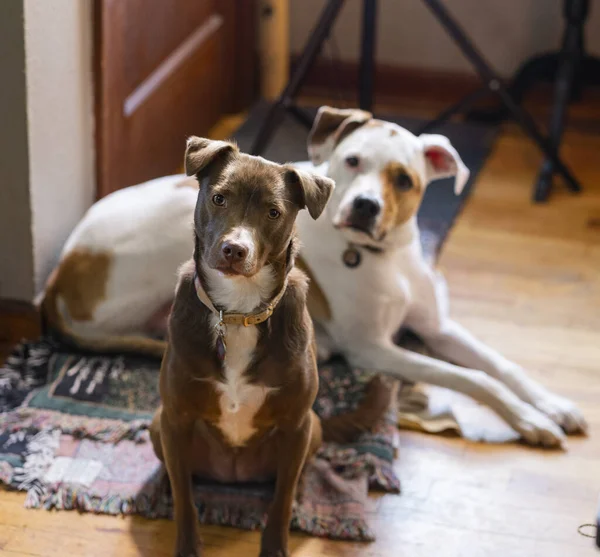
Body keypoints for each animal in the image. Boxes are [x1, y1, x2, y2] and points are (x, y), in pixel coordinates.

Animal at [151, 138, 390, 556]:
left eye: (274, 212)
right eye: (219, 198)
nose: (234, 250)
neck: (237, 311)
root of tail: (232, 475)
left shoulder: (296, 425)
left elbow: (281, 498)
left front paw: (276, 544)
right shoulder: (176, 416)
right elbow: (185, 500)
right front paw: (187, 545)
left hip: (312, 428)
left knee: (292, 478)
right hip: (157, 422)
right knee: (178, 473)